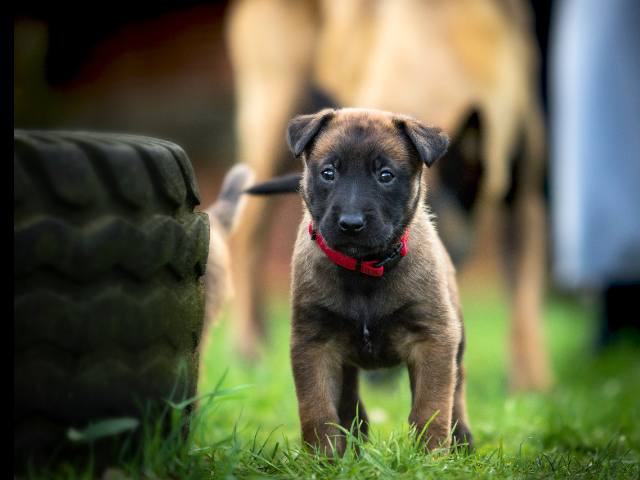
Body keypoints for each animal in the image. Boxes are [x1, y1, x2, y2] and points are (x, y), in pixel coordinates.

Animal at [284, 109, 470, 458]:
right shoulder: (314, 343)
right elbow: (318, 411)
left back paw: (463, 440)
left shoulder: (433, 339)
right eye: (328, 173)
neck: (364, 271)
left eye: (386, 175)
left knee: (458, 391)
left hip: (457, 339)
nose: (351, 223)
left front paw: (430, 457)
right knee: (348, 401)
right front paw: (322, 459)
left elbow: (431, 407)